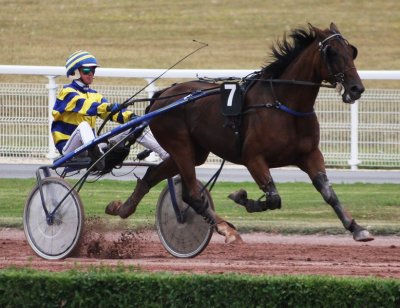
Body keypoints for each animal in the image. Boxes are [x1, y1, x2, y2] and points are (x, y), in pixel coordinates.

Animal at [107, 21, 376, 243]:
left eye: (351, 51)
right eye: (332, 52)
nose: (356, 88)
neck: (283, 104)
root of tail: (162, 95)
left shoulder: (309, 154)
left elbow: (329, 193)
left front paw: (356, 228)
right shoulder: (253, 158)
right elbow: (274, 198)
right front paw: (242, 198)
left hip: (195, 152)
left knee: (155, 176)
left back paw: (123, 208)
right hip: (179, 144)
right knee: (193, 194)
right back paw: (226, 229)